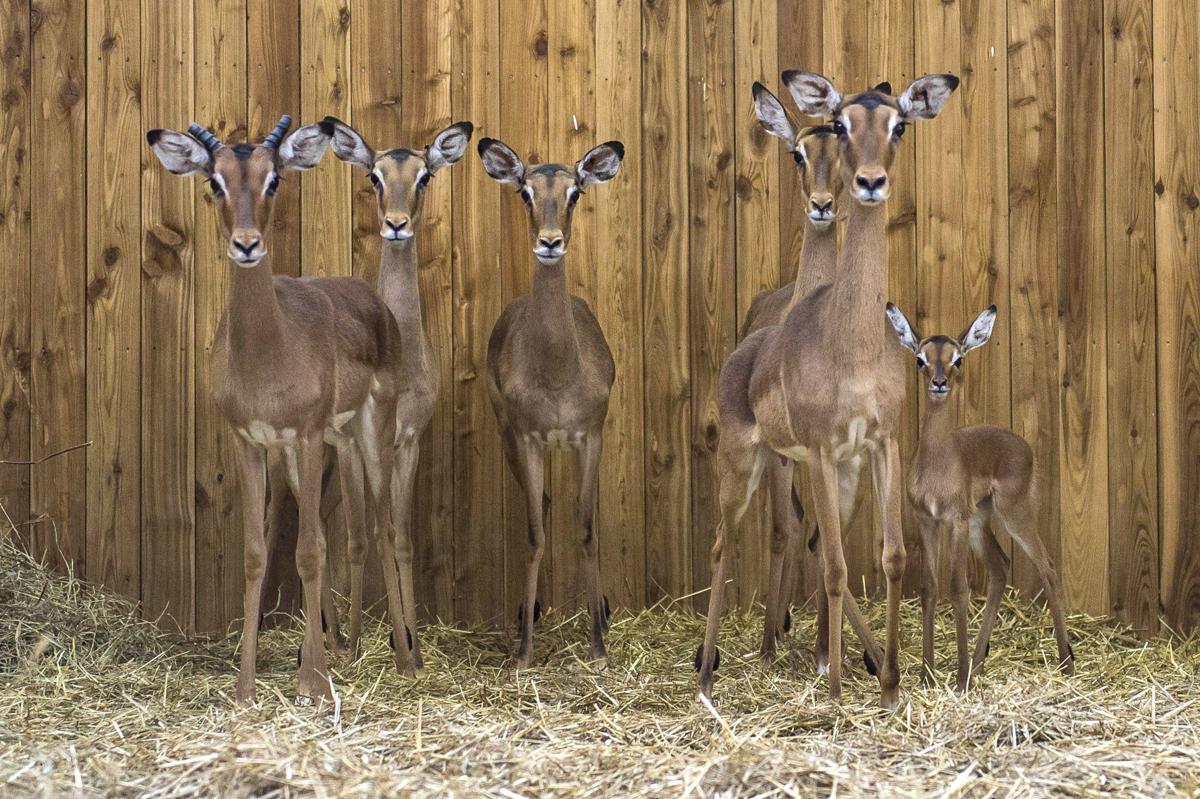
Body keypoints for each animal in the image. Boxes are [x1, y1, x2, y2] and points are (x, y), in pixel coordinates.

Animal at [477, 136, 628, 667]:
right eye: (525, 192)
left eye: (575, 192)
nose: (549, 242)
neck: (560, 374)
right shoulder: (528, 438)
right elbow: (535, 532)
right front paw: (523, 653)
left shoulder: (589, 436)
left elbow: (584, 529)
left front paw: (599, 647)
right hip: (508, 440)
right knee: (539, 507)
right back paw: (529, 617)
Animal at [888, 302, 1075, 686]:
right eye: (920, 358)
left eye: (958, 359)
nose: (939, 383)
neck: (939, 462)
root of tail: (1025, 446)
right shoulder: (928, 521)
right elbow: (929, 587)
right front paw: (928, 675)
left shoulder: (955, 521)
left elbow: (958, 588)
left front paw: (959, 680)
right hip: (981, 521)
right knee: (1001, 567)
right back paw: (978, 663)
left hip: (1013, 514)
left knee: (1047, 567)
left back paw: (1066, 663)